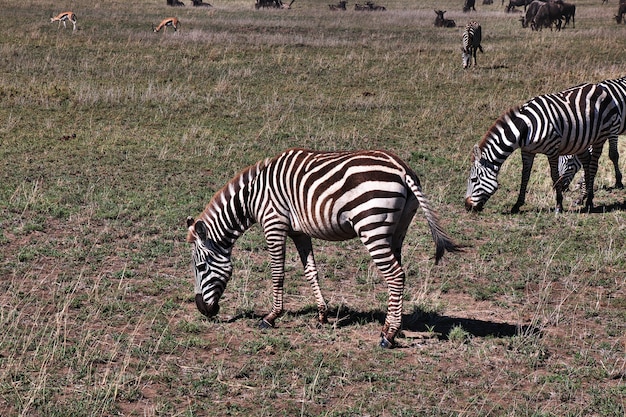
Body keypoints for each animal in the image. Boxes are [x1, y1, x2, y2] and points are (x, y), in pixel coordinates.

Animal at [185, 148, 458, 346]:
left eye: (200, 266)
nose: (203, 310)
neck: (253, 196)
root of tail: (402, 168)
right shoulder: (299, 231)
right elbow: (310, 271)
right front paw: (322, 314)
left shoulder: (274, 223)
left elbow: (277, 273)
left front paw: (271, 317)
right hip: (398, 229)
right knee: (398, 273)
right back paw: (392, 327)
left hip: (371, 225)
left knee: (395, 275)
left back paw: (388, 335)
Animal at [464, 81, 620, 213]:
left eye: (474, 179)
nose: (467, 206)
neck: (526, 128)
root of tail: (598, 87)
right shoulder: (527, 151)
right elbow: (525, 175)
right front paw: (517, 205)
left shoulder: (553, 150)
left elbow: (555, 176)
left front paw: (558, 205)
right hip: (582, 141)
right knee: (587, 163)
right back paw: (586, 196)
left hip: (601, 136)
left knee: (593, 166)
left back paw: (589, 201)